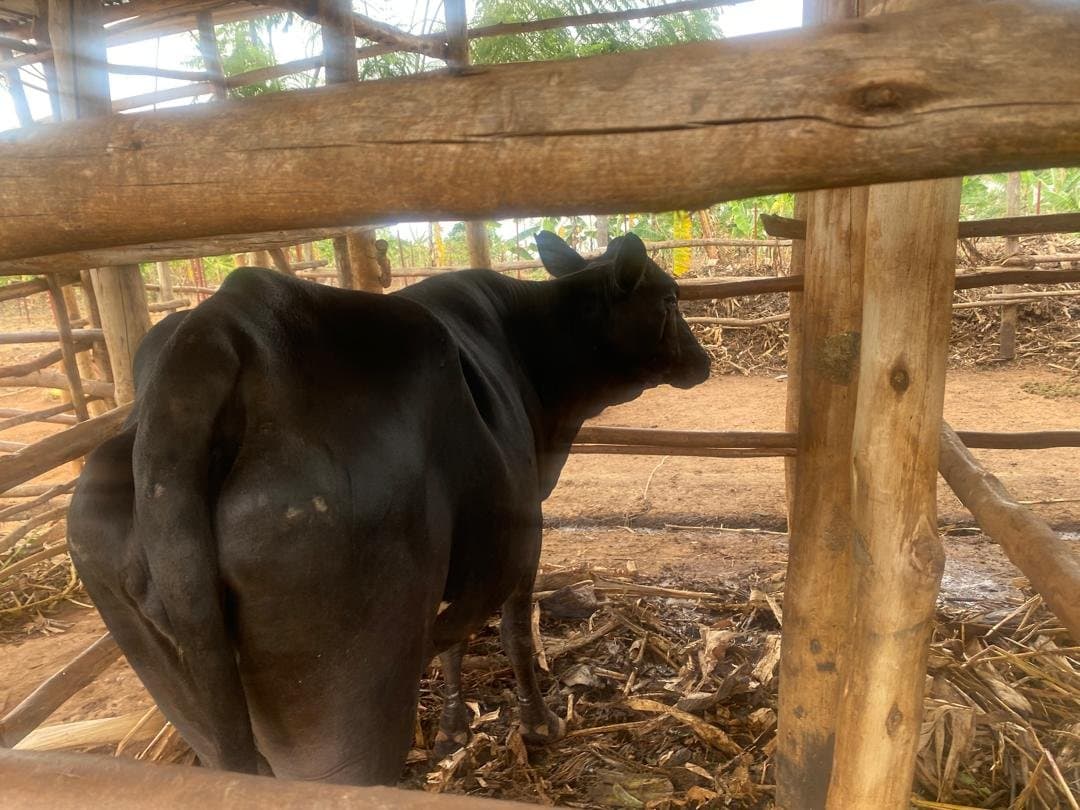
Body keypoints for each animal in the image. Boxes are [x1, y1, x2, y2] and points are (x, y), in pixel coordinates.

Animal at [67, 230, 710, 785]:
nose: (702, 360)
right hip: (342, 719)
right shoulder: (524, 534)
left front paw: (451, 730)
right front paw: (537, 724)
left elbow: (453, 642)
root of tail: (218, 331)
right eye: (670, 297)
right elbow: (513, 633)